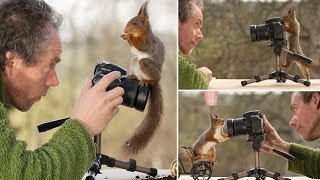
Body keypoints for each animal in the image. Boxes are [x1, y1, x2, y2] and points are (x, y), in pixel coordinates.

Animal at [120, 0, 165, 155]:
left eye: (135, 24)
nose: (125, 30)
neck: (143, 33)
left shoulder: (147, 42)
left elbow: (140, 46)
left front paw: (128, 37)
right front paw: (125, 36)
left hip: (146, 65)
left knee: (151, 76)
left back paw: (146, 81)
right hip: (135, 62)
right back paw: (135, 77)